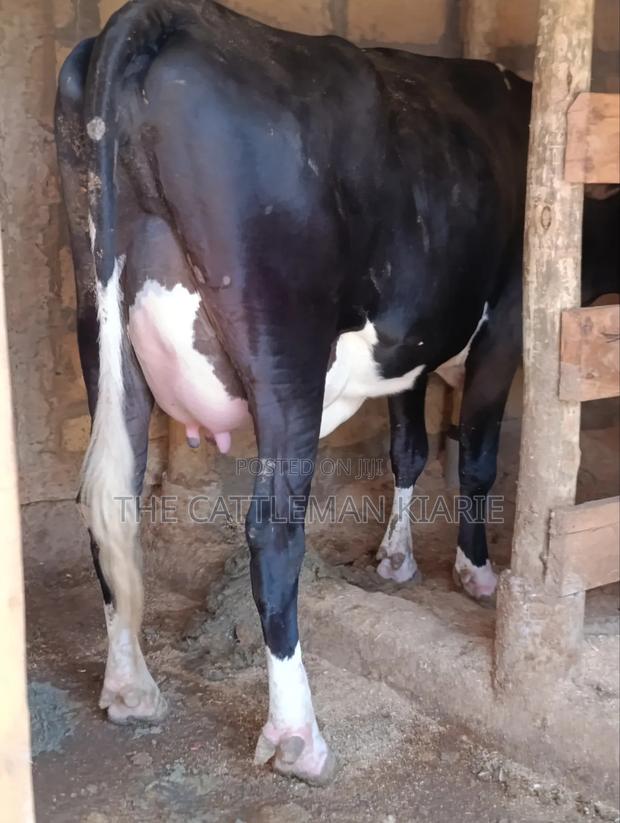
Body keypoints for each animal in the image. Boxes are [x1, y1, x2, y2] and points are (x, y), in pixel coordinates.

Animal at [55, 0, 619, 785]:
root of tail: (173, 16)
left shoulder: (410, 346)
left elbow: (408, 448)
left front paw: (395, 557)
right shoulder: (505, 328)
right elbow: (474, 460)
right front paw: (475, 572)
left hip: (98, 320)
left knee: (111, 499)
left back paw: (131, 688)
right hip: (284, 349)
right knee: (272, 527)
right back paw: (298, 735)